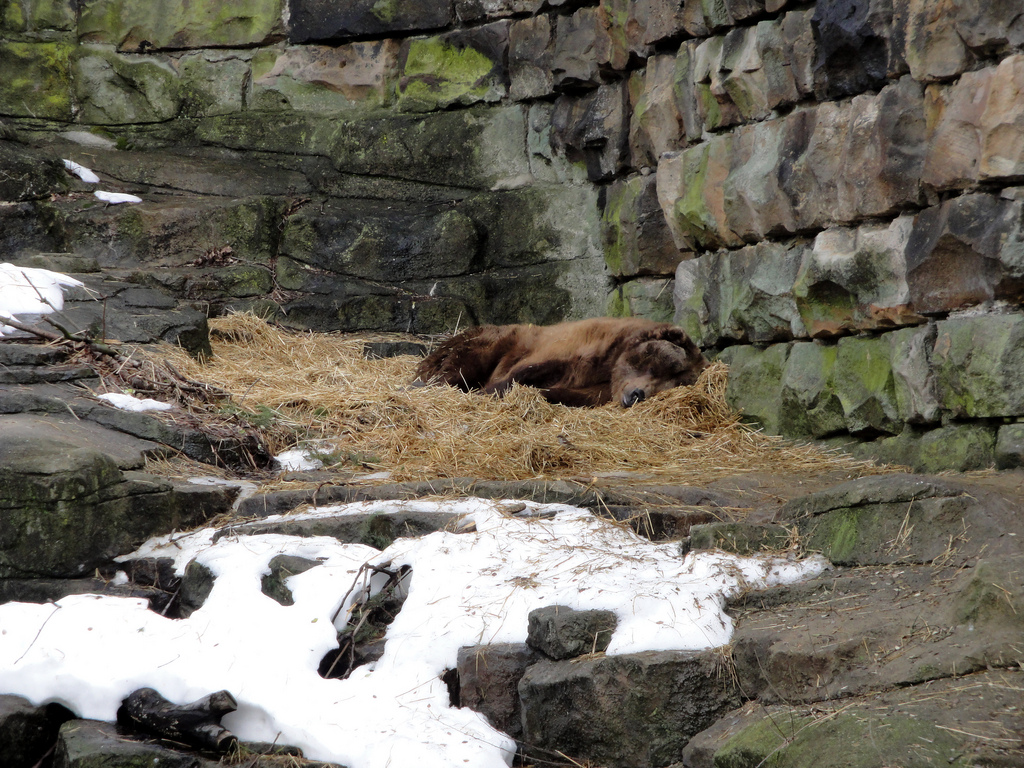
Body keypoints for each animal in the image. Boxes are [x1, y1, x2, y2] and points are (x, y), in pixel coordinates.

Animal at [413, 317, 708, 407]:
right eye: (655, 364)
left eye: (671, 383)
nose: (638, 394)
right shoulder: (576, 349)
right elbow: (523, 372)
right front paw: (488, 392)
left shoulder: (598, 388)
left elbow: (566, 393)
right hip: (491, 340)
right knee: (461, 364)